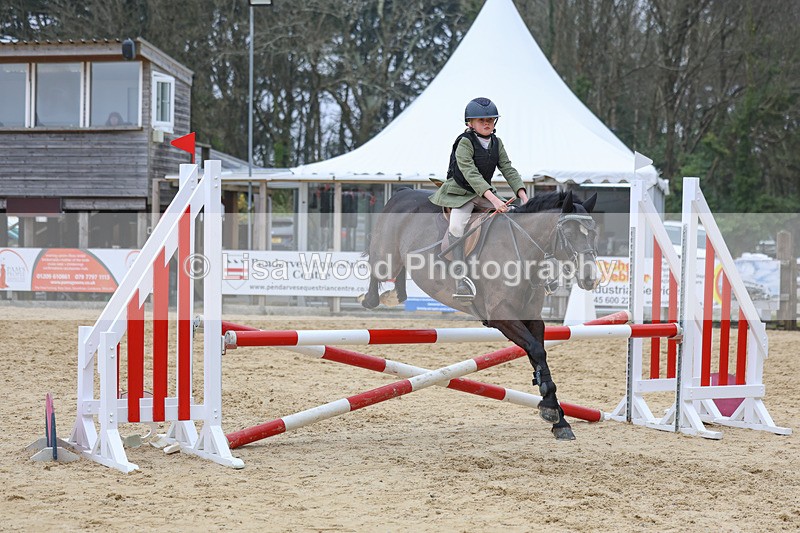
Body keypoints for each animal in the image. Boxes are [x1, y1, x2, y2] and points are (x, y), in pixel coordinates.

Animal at [360, 188, 600, 440]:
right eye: (569, 233)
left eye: (593, 232)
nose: (590, 279)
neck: (522, 249)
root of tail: (404, 192)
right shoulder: (501, 316)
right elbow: (535, 350)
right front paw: (552, 410)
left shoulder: (532, 318)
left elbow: (539, 354)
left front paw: (557, 417)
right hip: (386, 256)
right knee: (378, 269)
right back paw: (372, 298)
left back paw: (395, 295)